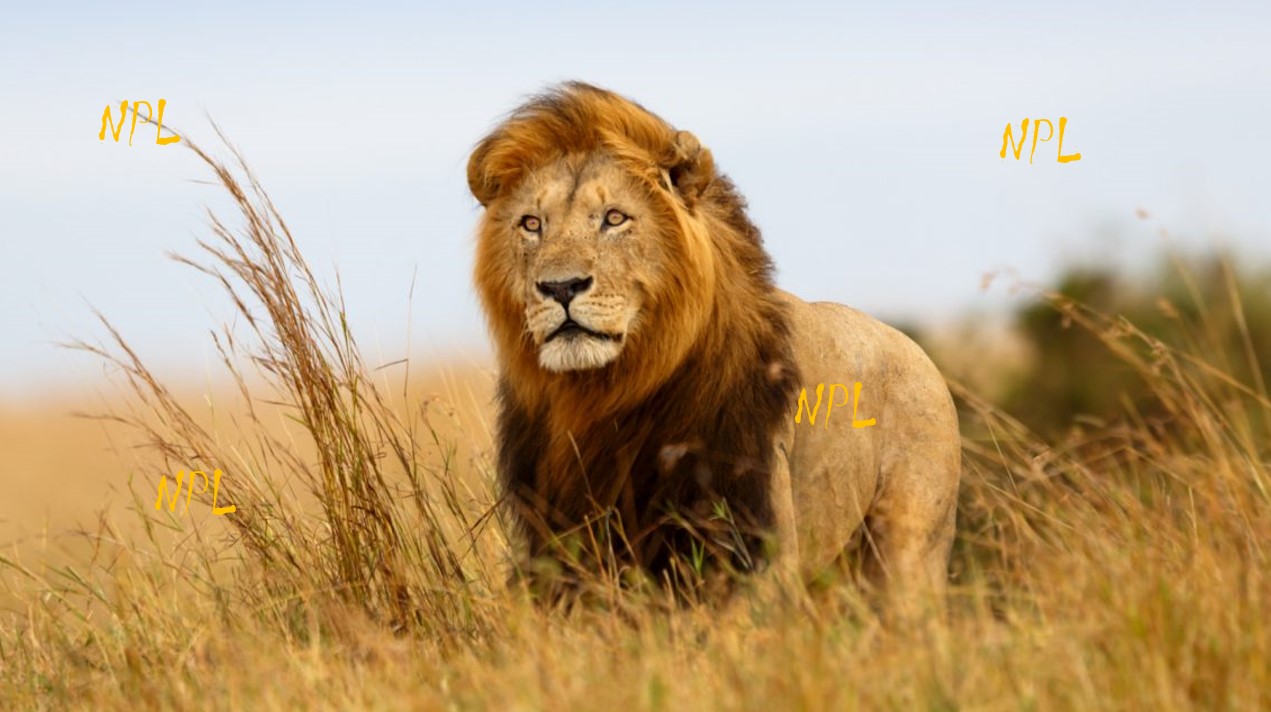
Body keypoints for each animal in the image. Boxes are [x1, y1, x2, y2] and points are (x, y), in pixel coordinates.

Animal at [466, 81, 960, 609]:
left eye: (615, 218)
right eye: (531, 224)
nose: (560, 287)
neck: (605, 394)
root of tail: (920, 354)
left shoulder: (752, 538)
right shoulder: (558, 541)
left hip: (908, 549)